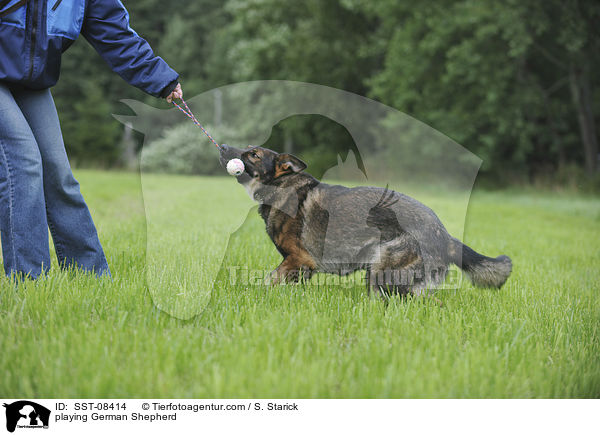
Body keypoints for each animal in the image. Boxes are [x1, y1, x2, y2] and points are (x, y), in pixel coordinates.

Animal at [220, 145, 510, 298]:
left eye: (254, 155)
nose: (223, 148)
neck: (282, 186)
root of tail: (446, 237)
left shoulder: (299, 259)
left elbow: (268, 281)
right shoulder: (301, 267)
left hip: (382, 269)